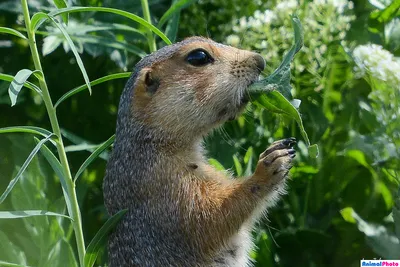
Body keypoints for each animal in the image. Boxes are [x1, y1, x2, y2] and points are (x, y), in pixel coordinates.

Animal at [104, 36, 296, 266]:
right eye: (199, 57)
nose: (260, 61)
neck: (152, 141)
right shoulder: (164, 184)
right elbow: (208, 217)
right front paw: (267, 167)